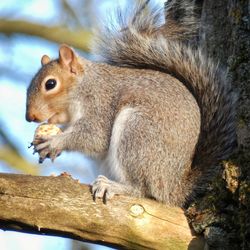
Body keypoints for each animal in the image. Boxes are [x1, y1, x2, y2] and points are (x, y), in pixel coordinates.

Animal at [25, 0, 236, 207]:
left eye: (50, 84)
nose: (30, 117)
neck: (84, 86)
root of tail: (175, 188)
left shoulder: (99, 104)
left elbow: (94, 137)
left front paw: (54, 142)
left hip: (138, 135)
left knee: (142, 190)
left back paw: (114, 186)